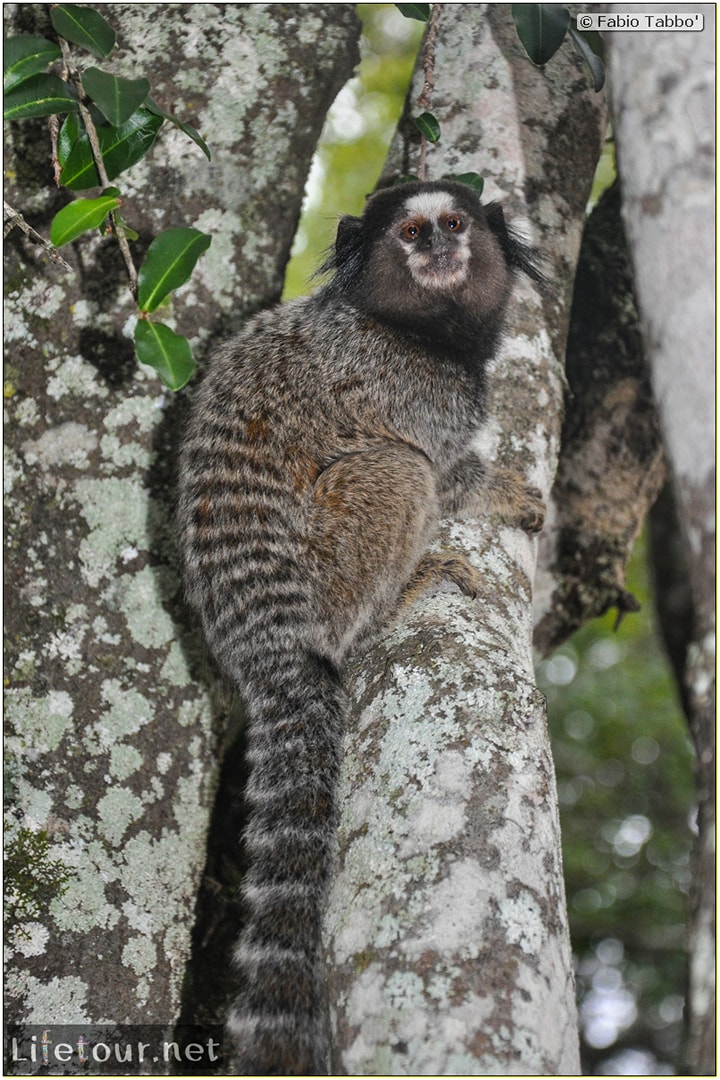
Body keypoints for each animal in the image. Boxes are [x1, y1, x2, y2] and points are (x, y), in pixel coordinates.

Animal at [179, 181, 546, 1075]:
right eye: (410, 232)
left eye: (455, 225)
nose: (438, 249)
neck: (417, 331)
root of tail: (262, 644)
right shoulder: (402, 388)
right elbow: (446, 474)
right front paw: (501, 491)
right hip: (325, 568)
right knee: (399, 471)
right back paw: (403, 585)